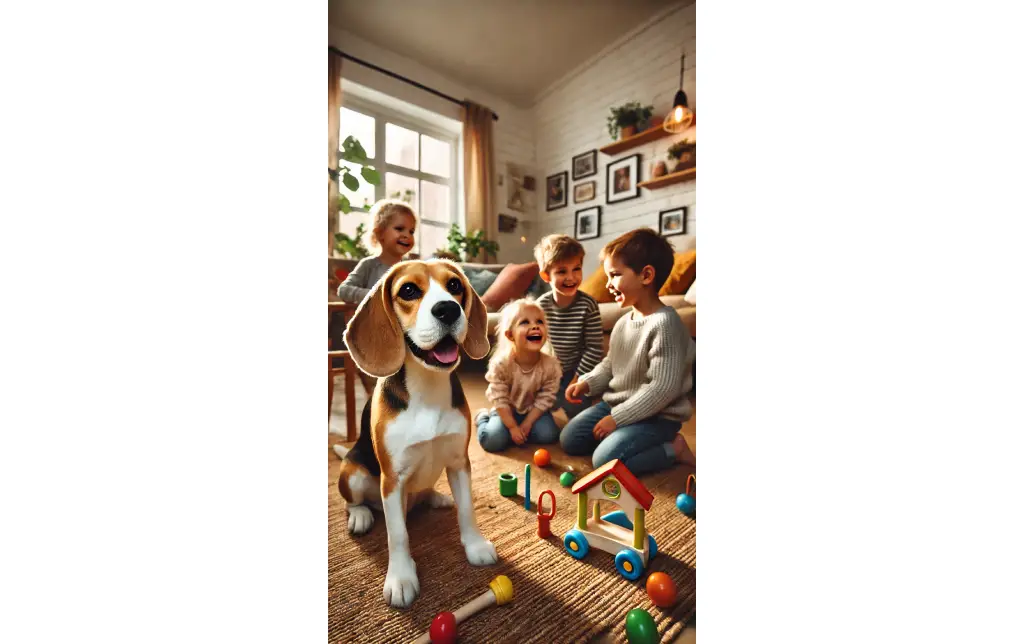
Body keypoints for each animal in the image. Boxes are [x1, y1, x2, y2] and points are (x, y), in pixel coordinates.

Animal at [335, 259, 495, 606]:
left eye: (454, 285)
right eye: (408, 290)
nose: (448, 309)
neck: (427, 387)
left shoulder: (460, 463)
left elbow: (467, 510)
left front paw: (475, 546)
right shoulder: (392, 479)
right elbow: (397, 534)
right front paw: (401, 578)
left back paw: (435, 497)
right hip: (353, 474)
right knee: (355, 502)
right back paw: (361, 516)